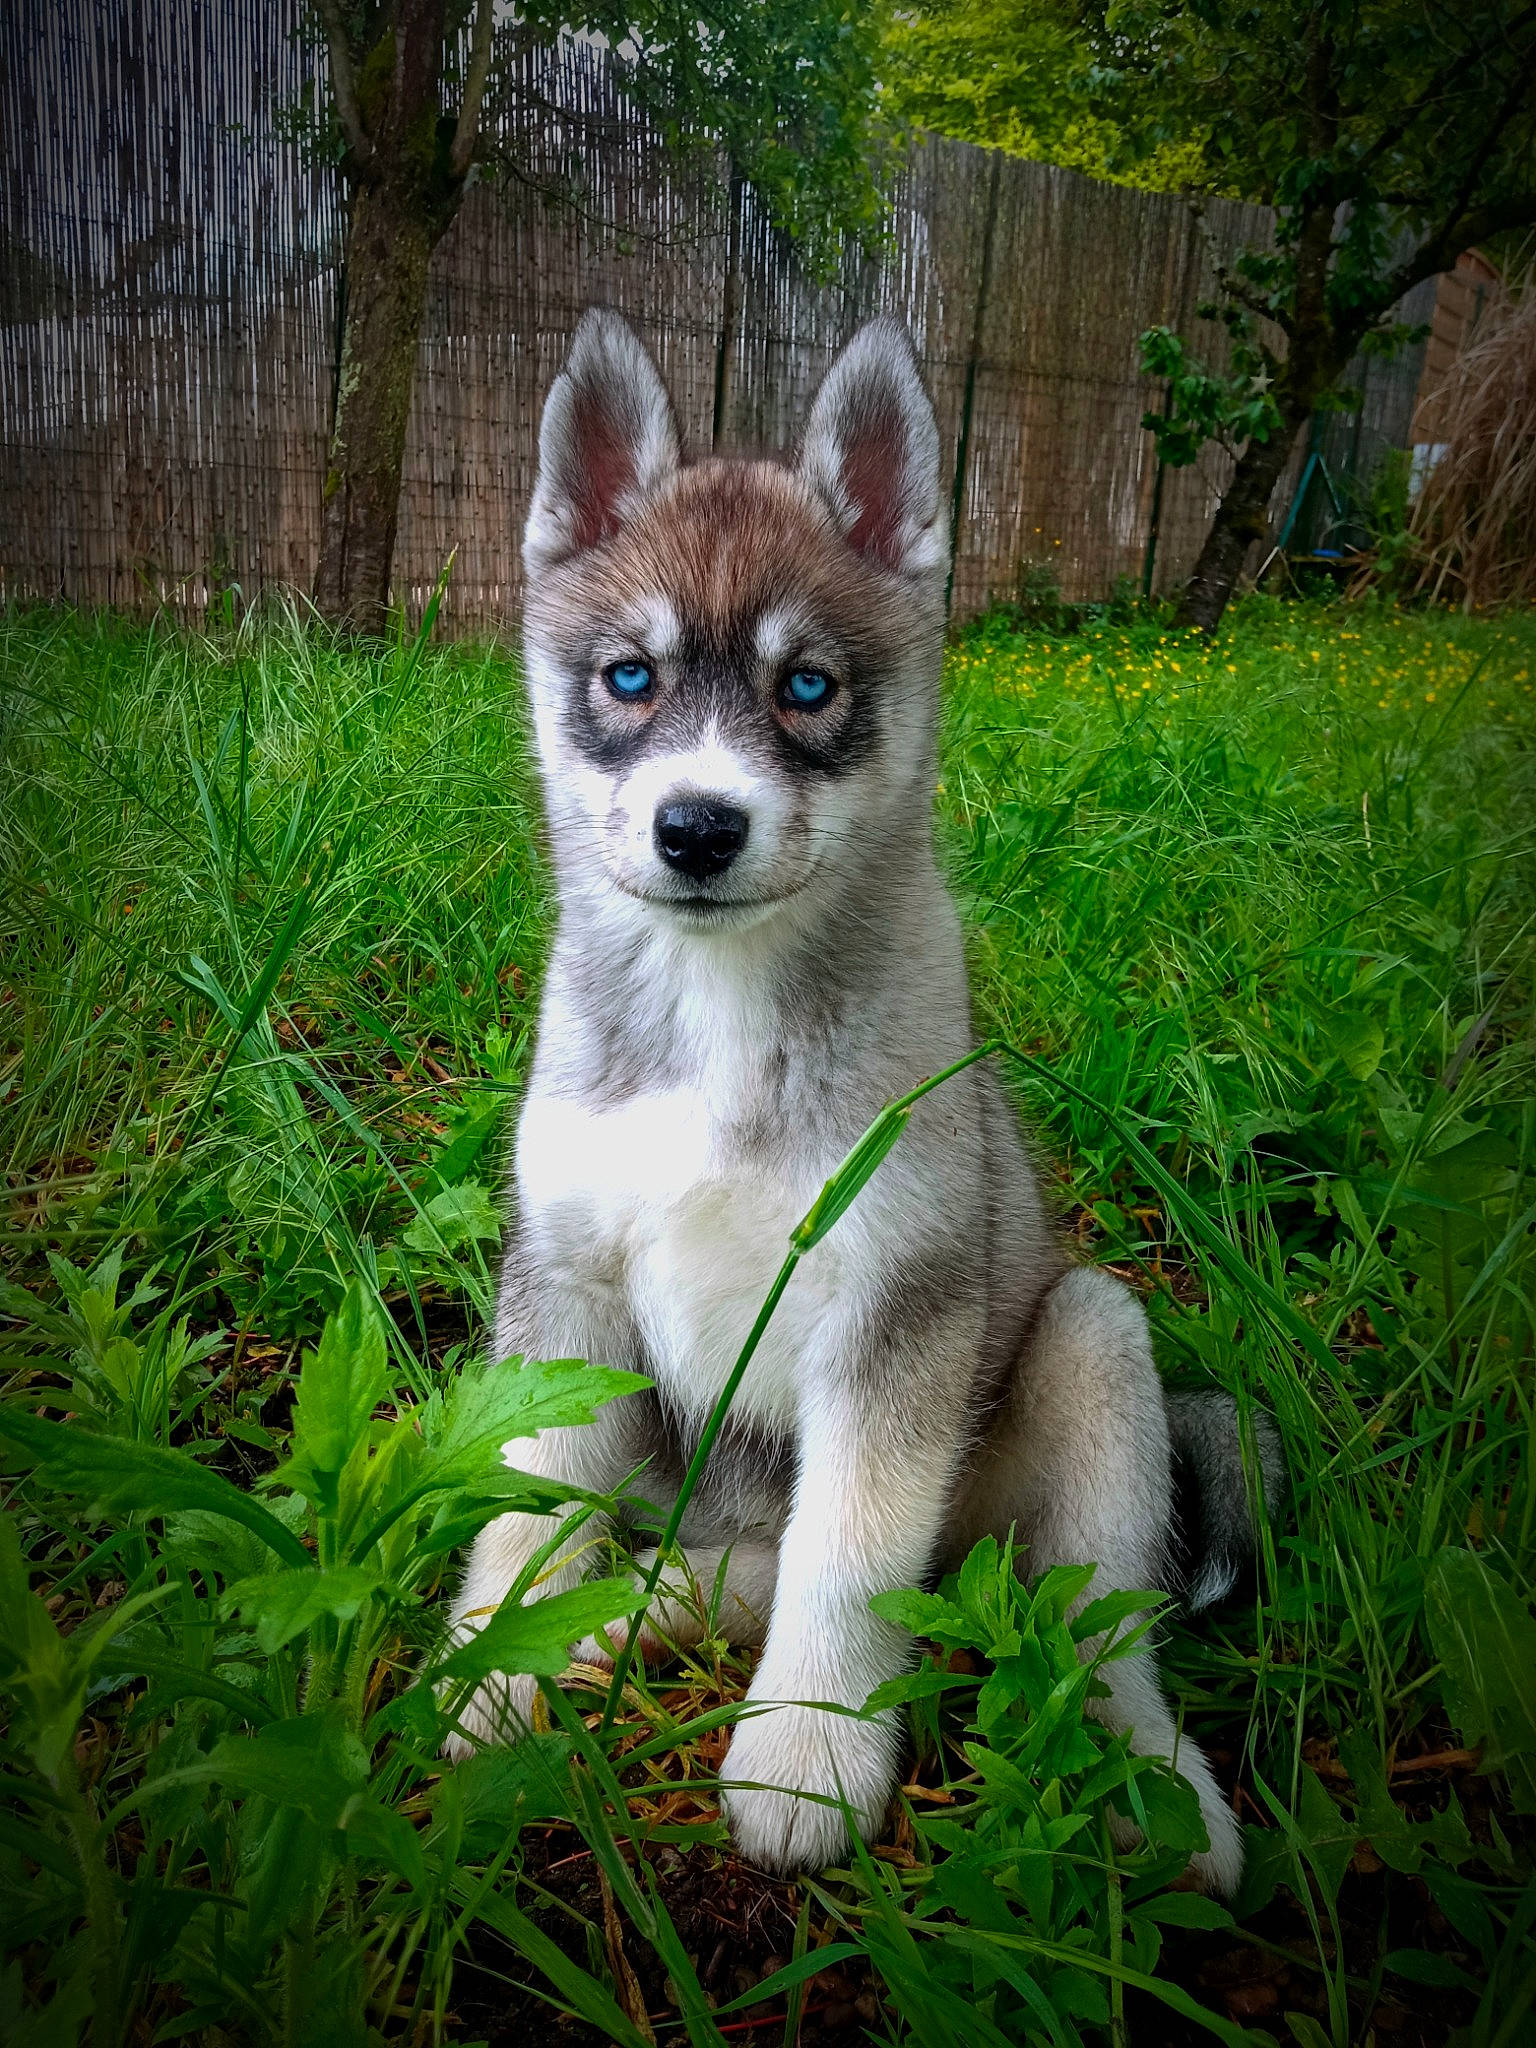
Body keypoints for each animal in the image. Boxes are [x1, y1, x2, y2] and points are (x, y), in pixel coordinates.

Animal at [444, 308, 1281, 1895]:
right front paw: (490, 1669)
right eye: (631, 678)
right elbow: (528, 1499)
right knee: (735, 1563)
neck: (723, 1011)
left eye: (809, 686)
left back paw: (1154, 1788)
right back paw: (632, 1614)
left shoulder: (897, 1311)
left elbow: (849, 1561)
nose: (697, 828)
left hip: (1090, 1343)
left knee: (1092, 1626)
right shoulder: (568, 1286)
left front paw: (806, 1757)